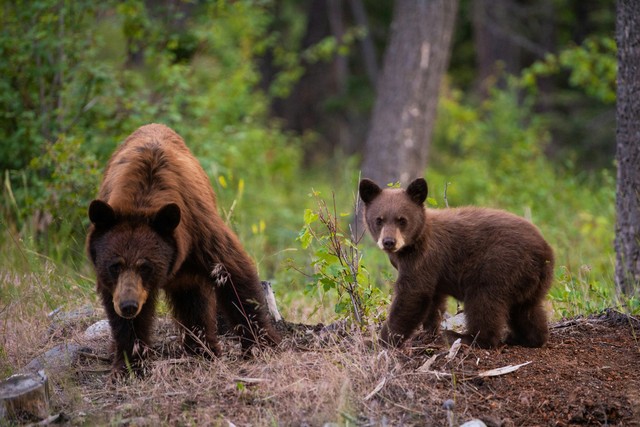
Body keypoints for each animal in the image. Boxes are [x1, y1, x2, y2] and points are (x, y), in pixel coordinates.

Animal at [87, 124, 281, 374]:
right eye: (114, 266)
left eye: (145, 266)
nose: (128, 306)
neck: (142, 201)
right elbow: (123, 321)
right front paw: (130, 363)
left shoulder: (199, 230)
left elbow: (234, 274)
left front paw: (261, 344)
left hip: (189, 270)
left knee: (193, 301)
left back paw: (202, 349)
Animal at [359, 177, 554, 349]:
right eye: (379, 219)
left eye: (402, 220)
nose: (389, 242)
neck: (413, 243)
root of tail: (545, 252)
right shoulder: (433, 270)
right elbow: (434, 300)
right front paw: (428, 331)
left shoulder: (424, 258)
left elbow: (412, 295)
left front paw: (382, 341)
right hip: (529, 280)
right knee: (526, 310)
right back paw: (526, 338)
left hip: (499, 266)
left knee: (484, 302)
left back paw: (466, 337)